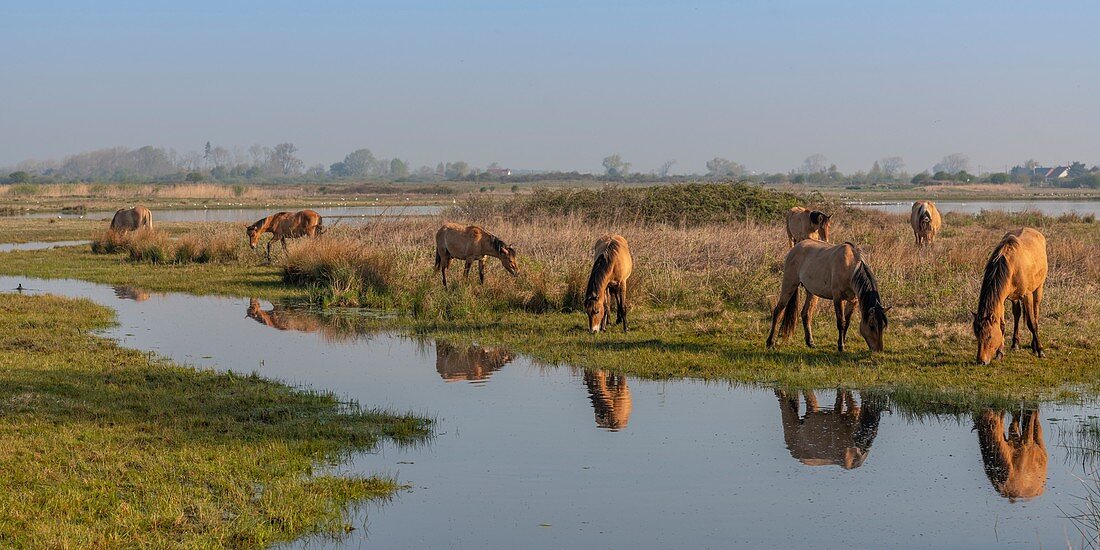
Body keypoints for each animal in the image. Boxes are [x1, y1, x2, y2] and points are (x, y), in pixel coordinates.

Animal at [972, 225, 1047, 363]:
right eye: (977, 335)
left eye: (989, 336)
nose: (981, 361)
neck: (1010, 265)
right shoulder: (1002, 299)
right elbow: (1002, 325)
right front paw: (1000, 352)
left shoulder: (1027, 295)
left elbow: (1031, 323)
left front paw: (1040, 350)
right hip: (1014, 297)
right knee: (1017, 314)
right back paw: (1015, 343)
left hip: (1038, 288)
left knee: (1036, 313)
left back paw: (1034, 345)